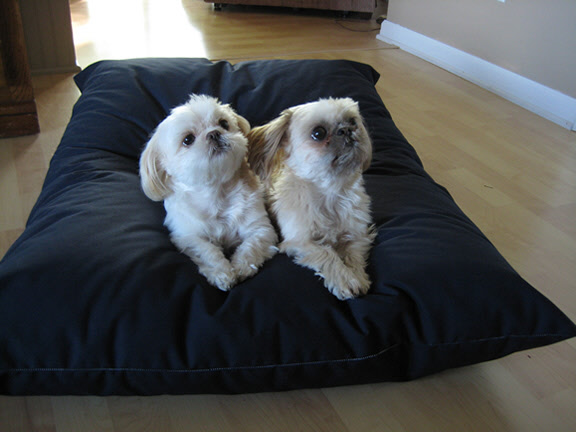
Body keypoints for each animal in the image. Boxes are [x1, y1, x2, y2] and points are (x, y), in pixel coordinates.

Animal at [138, 94, 276, 290]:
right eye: (188, 139)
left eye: (224, 123)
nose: (214, 133)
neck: (216, 192)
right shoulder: (186, 235)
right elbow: (206, 251)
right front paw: (222, 272)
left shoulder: (260, 228)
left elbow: (252, 245)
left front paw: (241, 266)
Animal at [246, 98, 374, 300]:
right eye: (318, 133)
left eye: (352, 121)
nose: (346, 129)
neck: (330, 191)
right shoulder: (299, 242)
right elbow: (326, 253)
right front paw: (345, 279)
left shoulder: (357, 233)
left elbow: (354, 253)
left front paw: (357, 274)